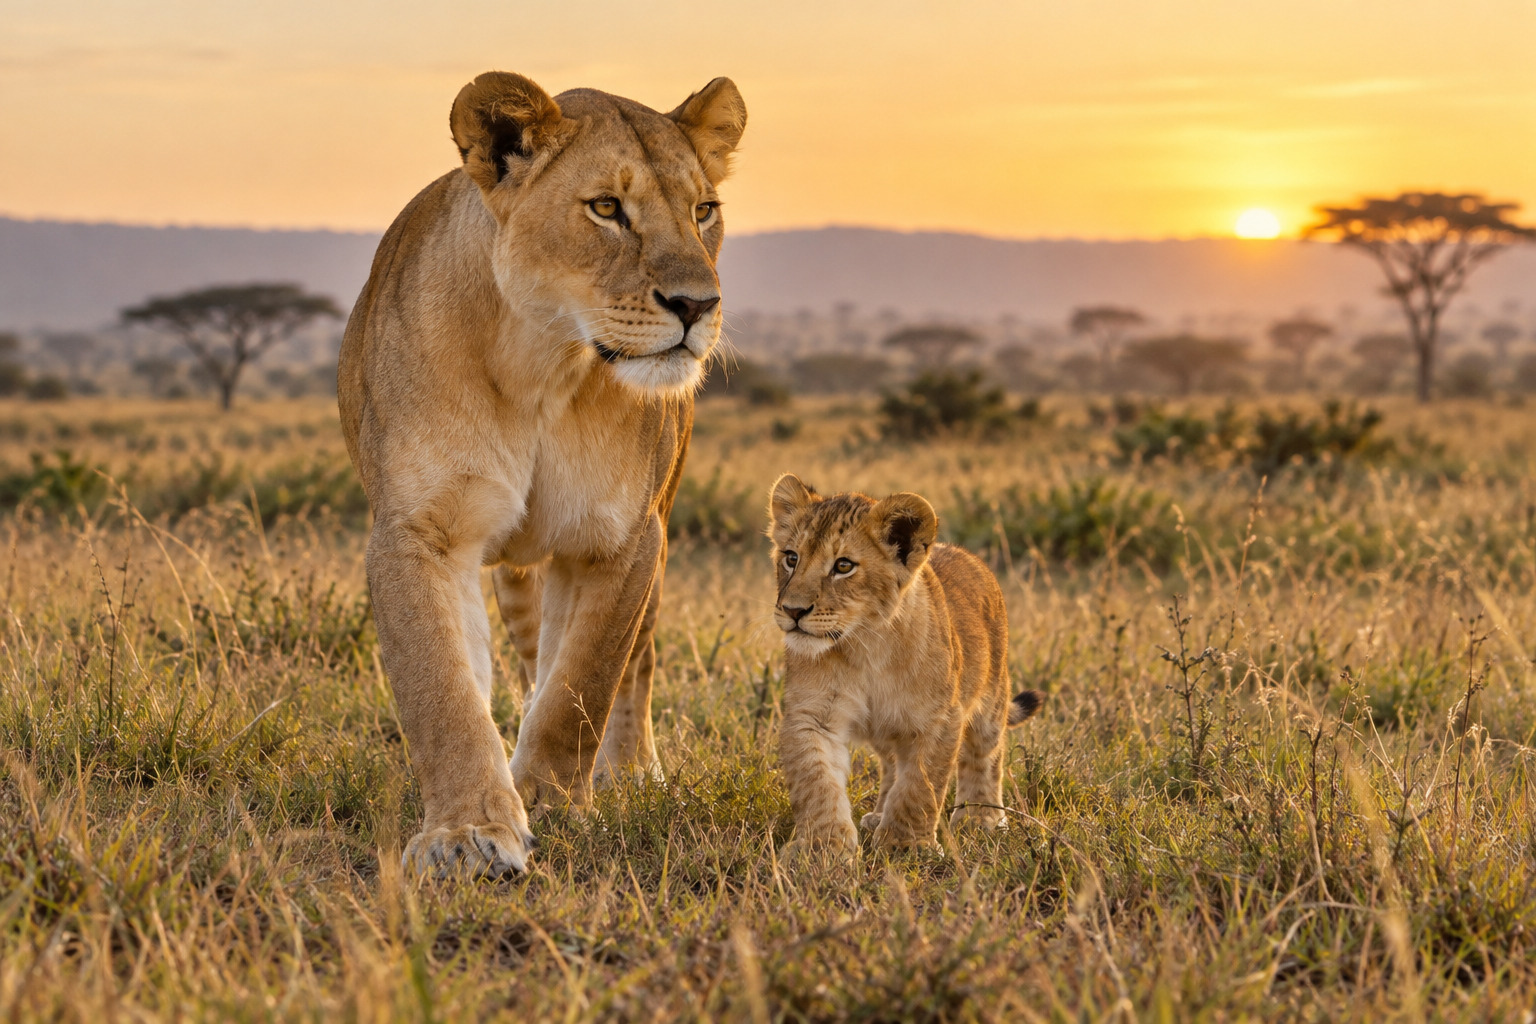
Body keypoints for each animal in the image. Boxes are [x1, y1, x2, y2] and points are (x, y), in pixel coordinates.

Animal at [337, 71, 746, 877]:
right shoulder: (417, 532)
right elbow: (444, 690)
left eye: (703, 210)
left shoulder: (620, 540)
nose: (698, 305)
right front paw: (469, 831)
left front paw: (554, 805)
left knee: (632, 665)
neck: (542, 364)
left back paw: (632, 775)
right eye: (606, 208)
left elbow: (582, 687)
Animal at [766, 475, 1045, 862]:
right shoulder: (811, 716)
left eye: (843, 566)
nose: (793, 611)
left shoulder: (938, 718)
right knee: (891, 765)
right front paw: (822, 849)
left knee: (985, 756)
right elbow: (817, 782)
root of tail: (966, 554)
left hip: (991, 698)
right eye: (791, 558)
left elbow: (920, 786)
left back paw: (982, 818)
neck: (865, 644)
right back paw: (878, 815)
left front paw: (906, 846)